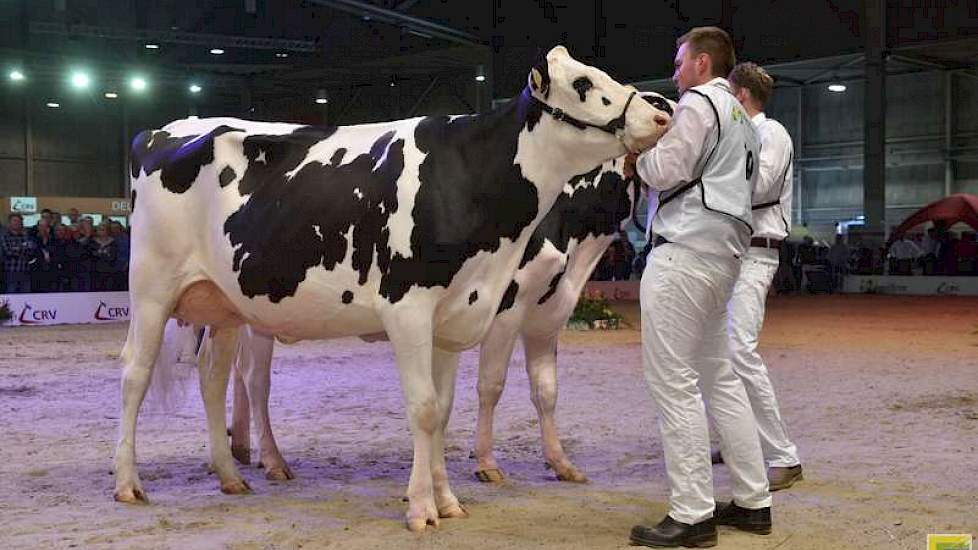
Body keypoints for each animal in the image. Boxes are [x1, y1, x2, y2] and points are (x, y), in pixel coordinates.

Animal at [112, 48, 664, 536]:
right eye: (584, 84)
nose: (660, 113)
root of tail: (159, 131)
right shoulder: (410, 308)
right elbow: (424, 408)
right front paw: (422, 508)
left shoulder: (459, 312)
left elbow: (444, 410)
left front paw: (448, 501)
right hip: (151, 287)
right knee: (137, 374)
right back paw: (128, 483)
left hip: (223, 303)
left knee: (214, 378)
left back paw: (231, 475)